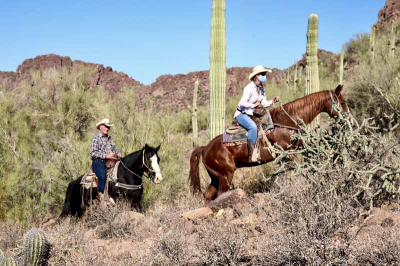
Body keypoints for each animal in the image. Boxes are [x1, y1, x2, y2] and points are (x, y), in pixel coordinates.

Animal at [189, 84, 348, 202]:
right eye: (342, 102)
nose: (348, 119)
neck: (286, 121)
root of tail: (205, 148)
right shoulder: (288, 153)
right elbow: (301, 168)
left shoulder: (295, 151)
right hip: (225, 175)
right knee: (220, 195)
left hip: (215, 177)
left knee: (208, 196)